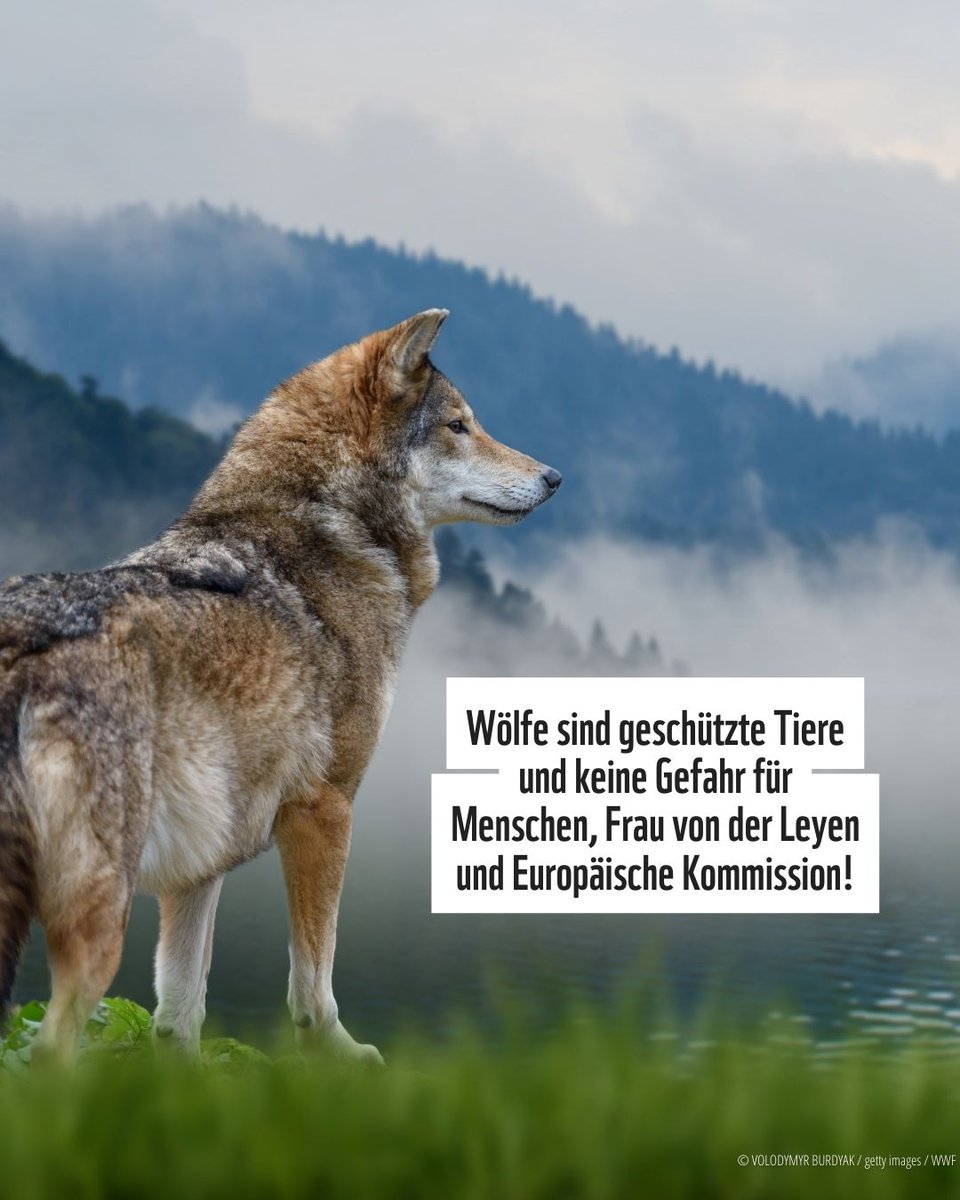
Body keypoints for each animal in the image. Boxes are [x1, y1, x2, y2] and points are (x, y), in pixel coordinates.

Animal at [0, 310, 561, 1063]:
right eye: (459, 425)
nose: (554, 477)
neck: (325, 527)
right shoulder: (325, 808)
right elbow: (313, 978)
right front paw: (343, 1058)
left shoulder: (203, 858)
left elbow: (180, 1010)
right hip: (98, 917)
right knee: (50, 1052)